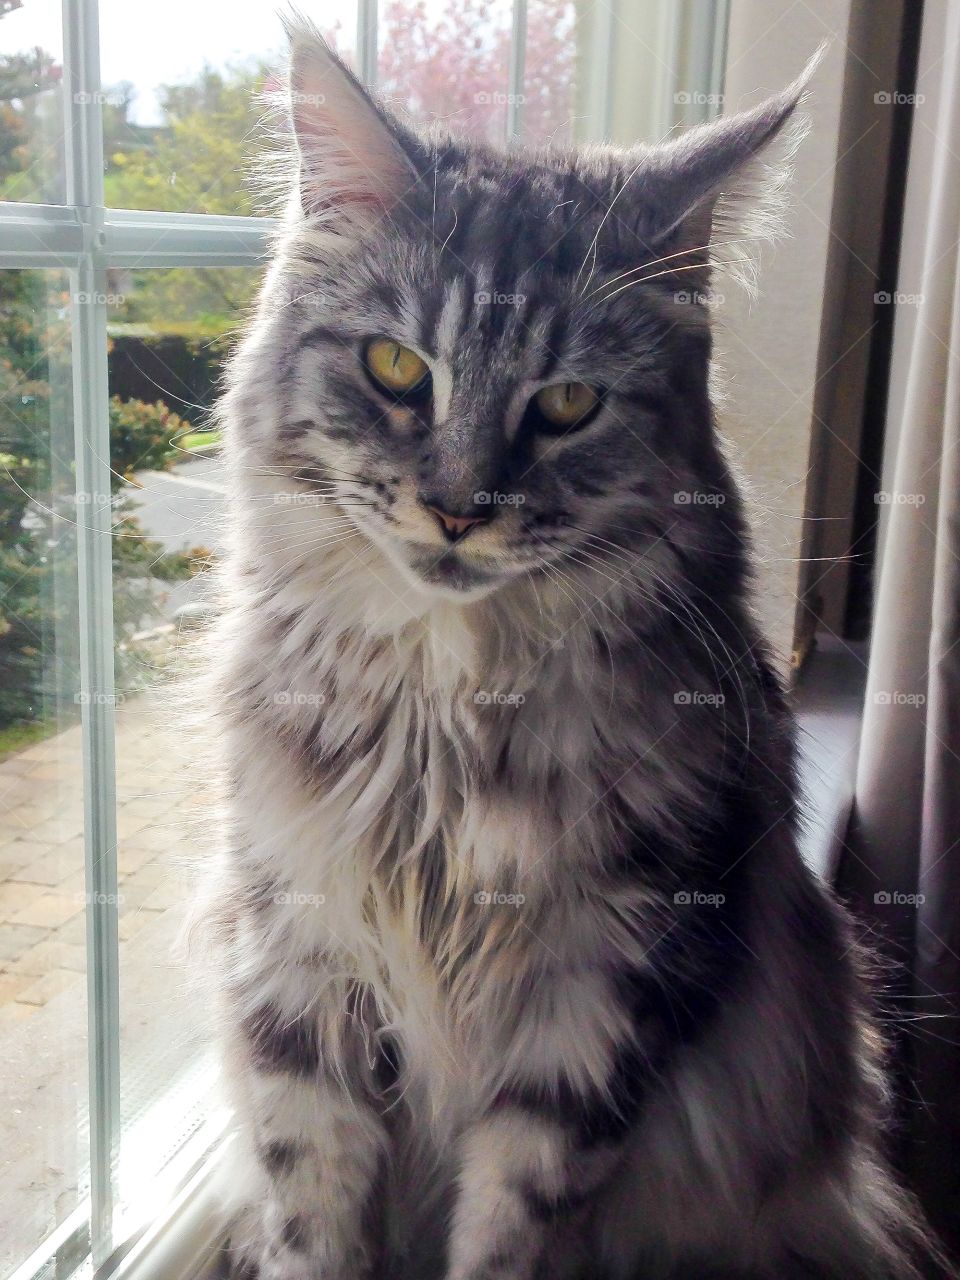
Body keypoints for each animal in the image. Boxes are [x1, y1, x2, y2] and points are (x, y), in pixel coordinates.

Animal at [204, 12, 957, 1280]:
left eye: (566, 405)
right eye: (398, 368)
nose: (458, 508)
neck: (444, 717)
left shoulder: (605, 997)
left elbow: (512, 1223)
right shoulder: (301, 964)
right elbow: (311, 1210)